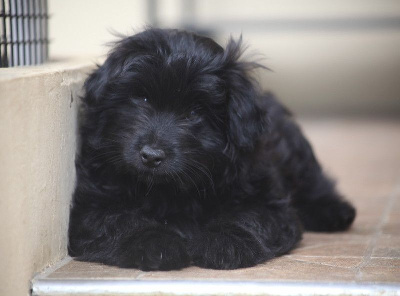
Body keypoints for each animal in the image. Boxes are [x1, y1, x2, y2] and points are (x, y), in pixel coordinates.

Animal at [69, 27, 356, 270]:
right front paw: (153, 242)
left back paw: (334, 211)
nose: (151, 156)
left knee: (313, 181)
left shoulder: (268, 201)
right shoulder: (91, 204)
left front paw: (225, 242)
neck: (169, 189)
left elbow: (249, 215)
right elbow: (118, 219)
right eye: (142, 98)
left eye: (195, 112)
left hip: (294, 153)